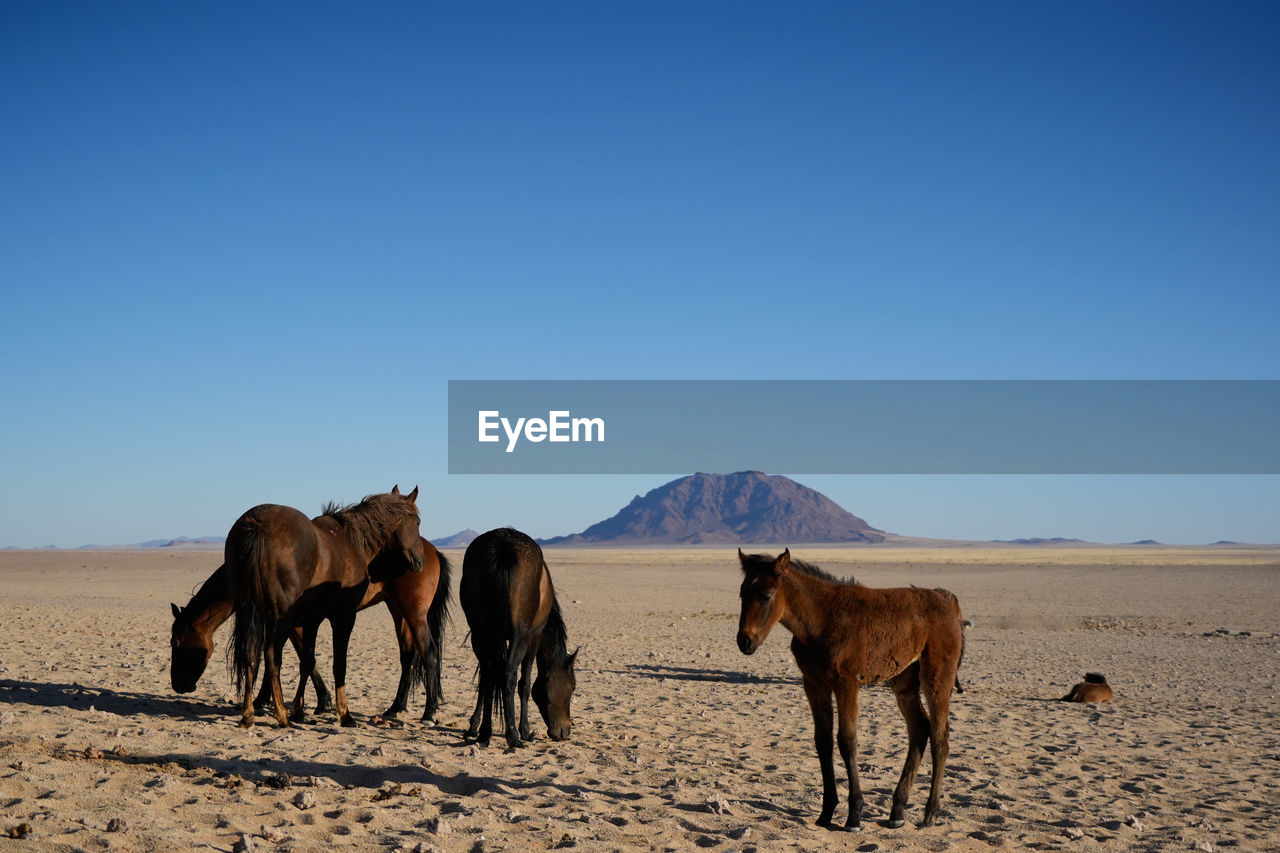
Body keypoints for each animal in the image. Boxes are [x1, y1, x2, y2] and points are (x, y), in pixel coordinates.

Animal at [167, 537, 453, 717]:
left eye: (176, 643)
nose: (178, 685)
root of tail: (429, 551)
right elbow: (293, 655)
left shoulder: (293, 621)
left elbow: (292, 655)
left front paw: (273, 701)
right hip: (397, 610)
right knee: (408, 656)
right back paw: (396, 707)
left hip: (414, 613)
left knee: (428, 652)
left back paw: (428, 711)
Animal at [227, 484, 422, 722]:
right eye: (418, 522)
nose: (420, 561)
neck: (352, 542)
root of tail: (258, 525)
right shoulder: (344, 617)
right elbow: (339, 665)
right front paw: (345, 714)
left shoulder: (312, 618)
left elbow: (307, 661)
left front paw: (299, 710)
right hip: (279, 618)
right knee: (272, 656)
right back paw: (281, 714)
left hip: (252, 611)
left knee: (251, 654)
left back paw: (248, 714)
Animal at [463, 527, 578, 747]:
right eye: (573, 686)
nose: (565, 731)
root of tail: (502, 546)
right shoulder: (534, 638)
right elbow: (525, 684)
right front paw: (525, 730)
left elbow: (485, 679)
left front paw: (474, 725)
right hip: (520, 636)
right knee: (509, 674)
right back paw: (513, 736)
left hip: (481, 632)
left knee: (489, 674)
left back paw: (485, 732)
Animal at [737, 548, 962, 824]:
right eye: (742, 594)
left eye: (766, 596)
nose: (744, 641)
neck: (821, 621)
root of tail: (948, 601)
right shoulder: (814, 684)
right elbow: (823, 742)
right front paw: (826, 812)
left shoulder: (846, 683)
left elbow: (847, 741)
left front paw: (854, 814)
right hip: (904, 682)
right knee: (919, 729)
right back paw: (897, 810)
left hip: (937, 679)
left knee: (940, 738)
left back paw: (930, 813)